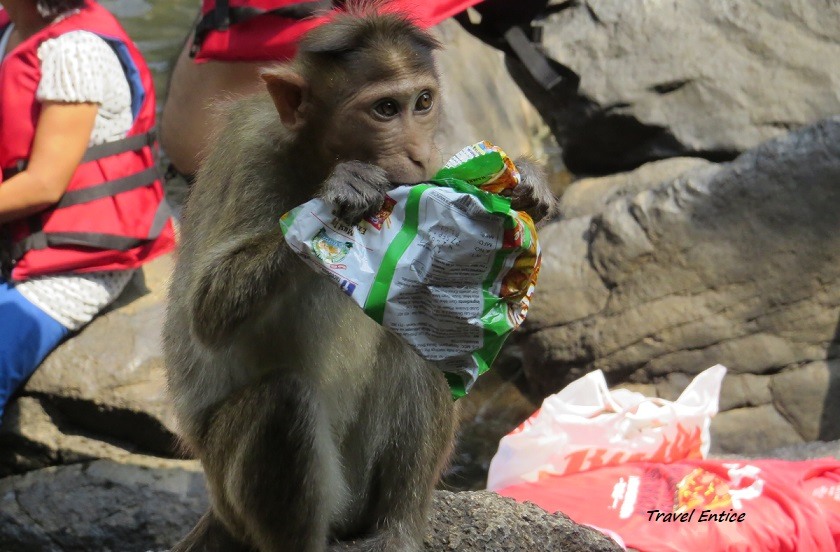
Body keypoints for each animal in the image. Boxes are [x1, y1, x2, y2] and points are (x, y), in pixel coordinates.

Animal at [163, 4, 556, 552]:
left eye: (423, 102)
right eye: (385, 109)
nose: (418, 155)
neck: (314, 155)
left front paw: (527, 180)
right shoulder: (250, 155)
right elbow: (206, 314)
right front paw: (339, 195)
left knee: (427, 351)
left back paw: (399, 526)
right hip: (232, 493)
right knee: (281, 401)